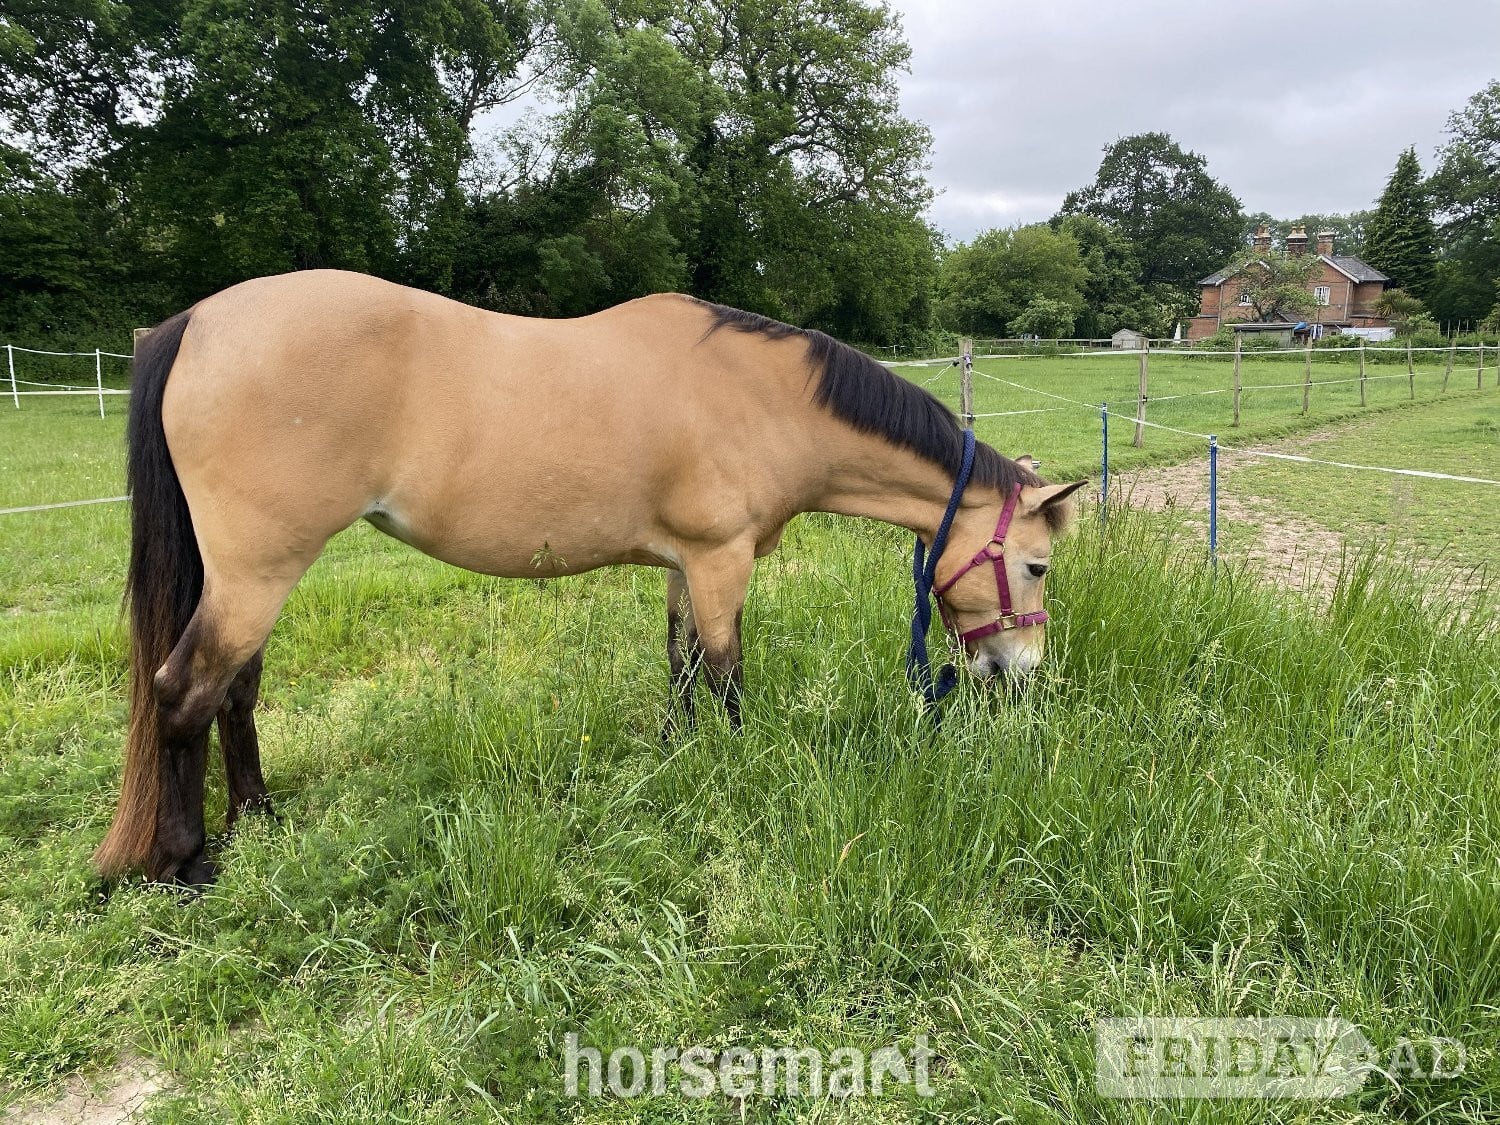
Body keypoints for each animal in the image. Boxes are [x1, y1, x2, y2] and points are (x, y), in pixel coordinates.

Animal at [93, 270, 1086, 885]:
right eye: (1036, 565)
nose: (1022, 679)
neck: (764, 399)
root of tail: (197, 322)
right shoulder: (720, 561)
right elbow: (726, 676)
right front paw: (740, 773)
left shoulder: (685, 564)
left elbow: (680, 667)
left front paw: (679, 759)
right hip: (257, 572)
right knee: (183, 692)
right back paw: (185, 863)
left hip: (253, 578)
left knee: (235, 691)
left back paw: (257, 818)